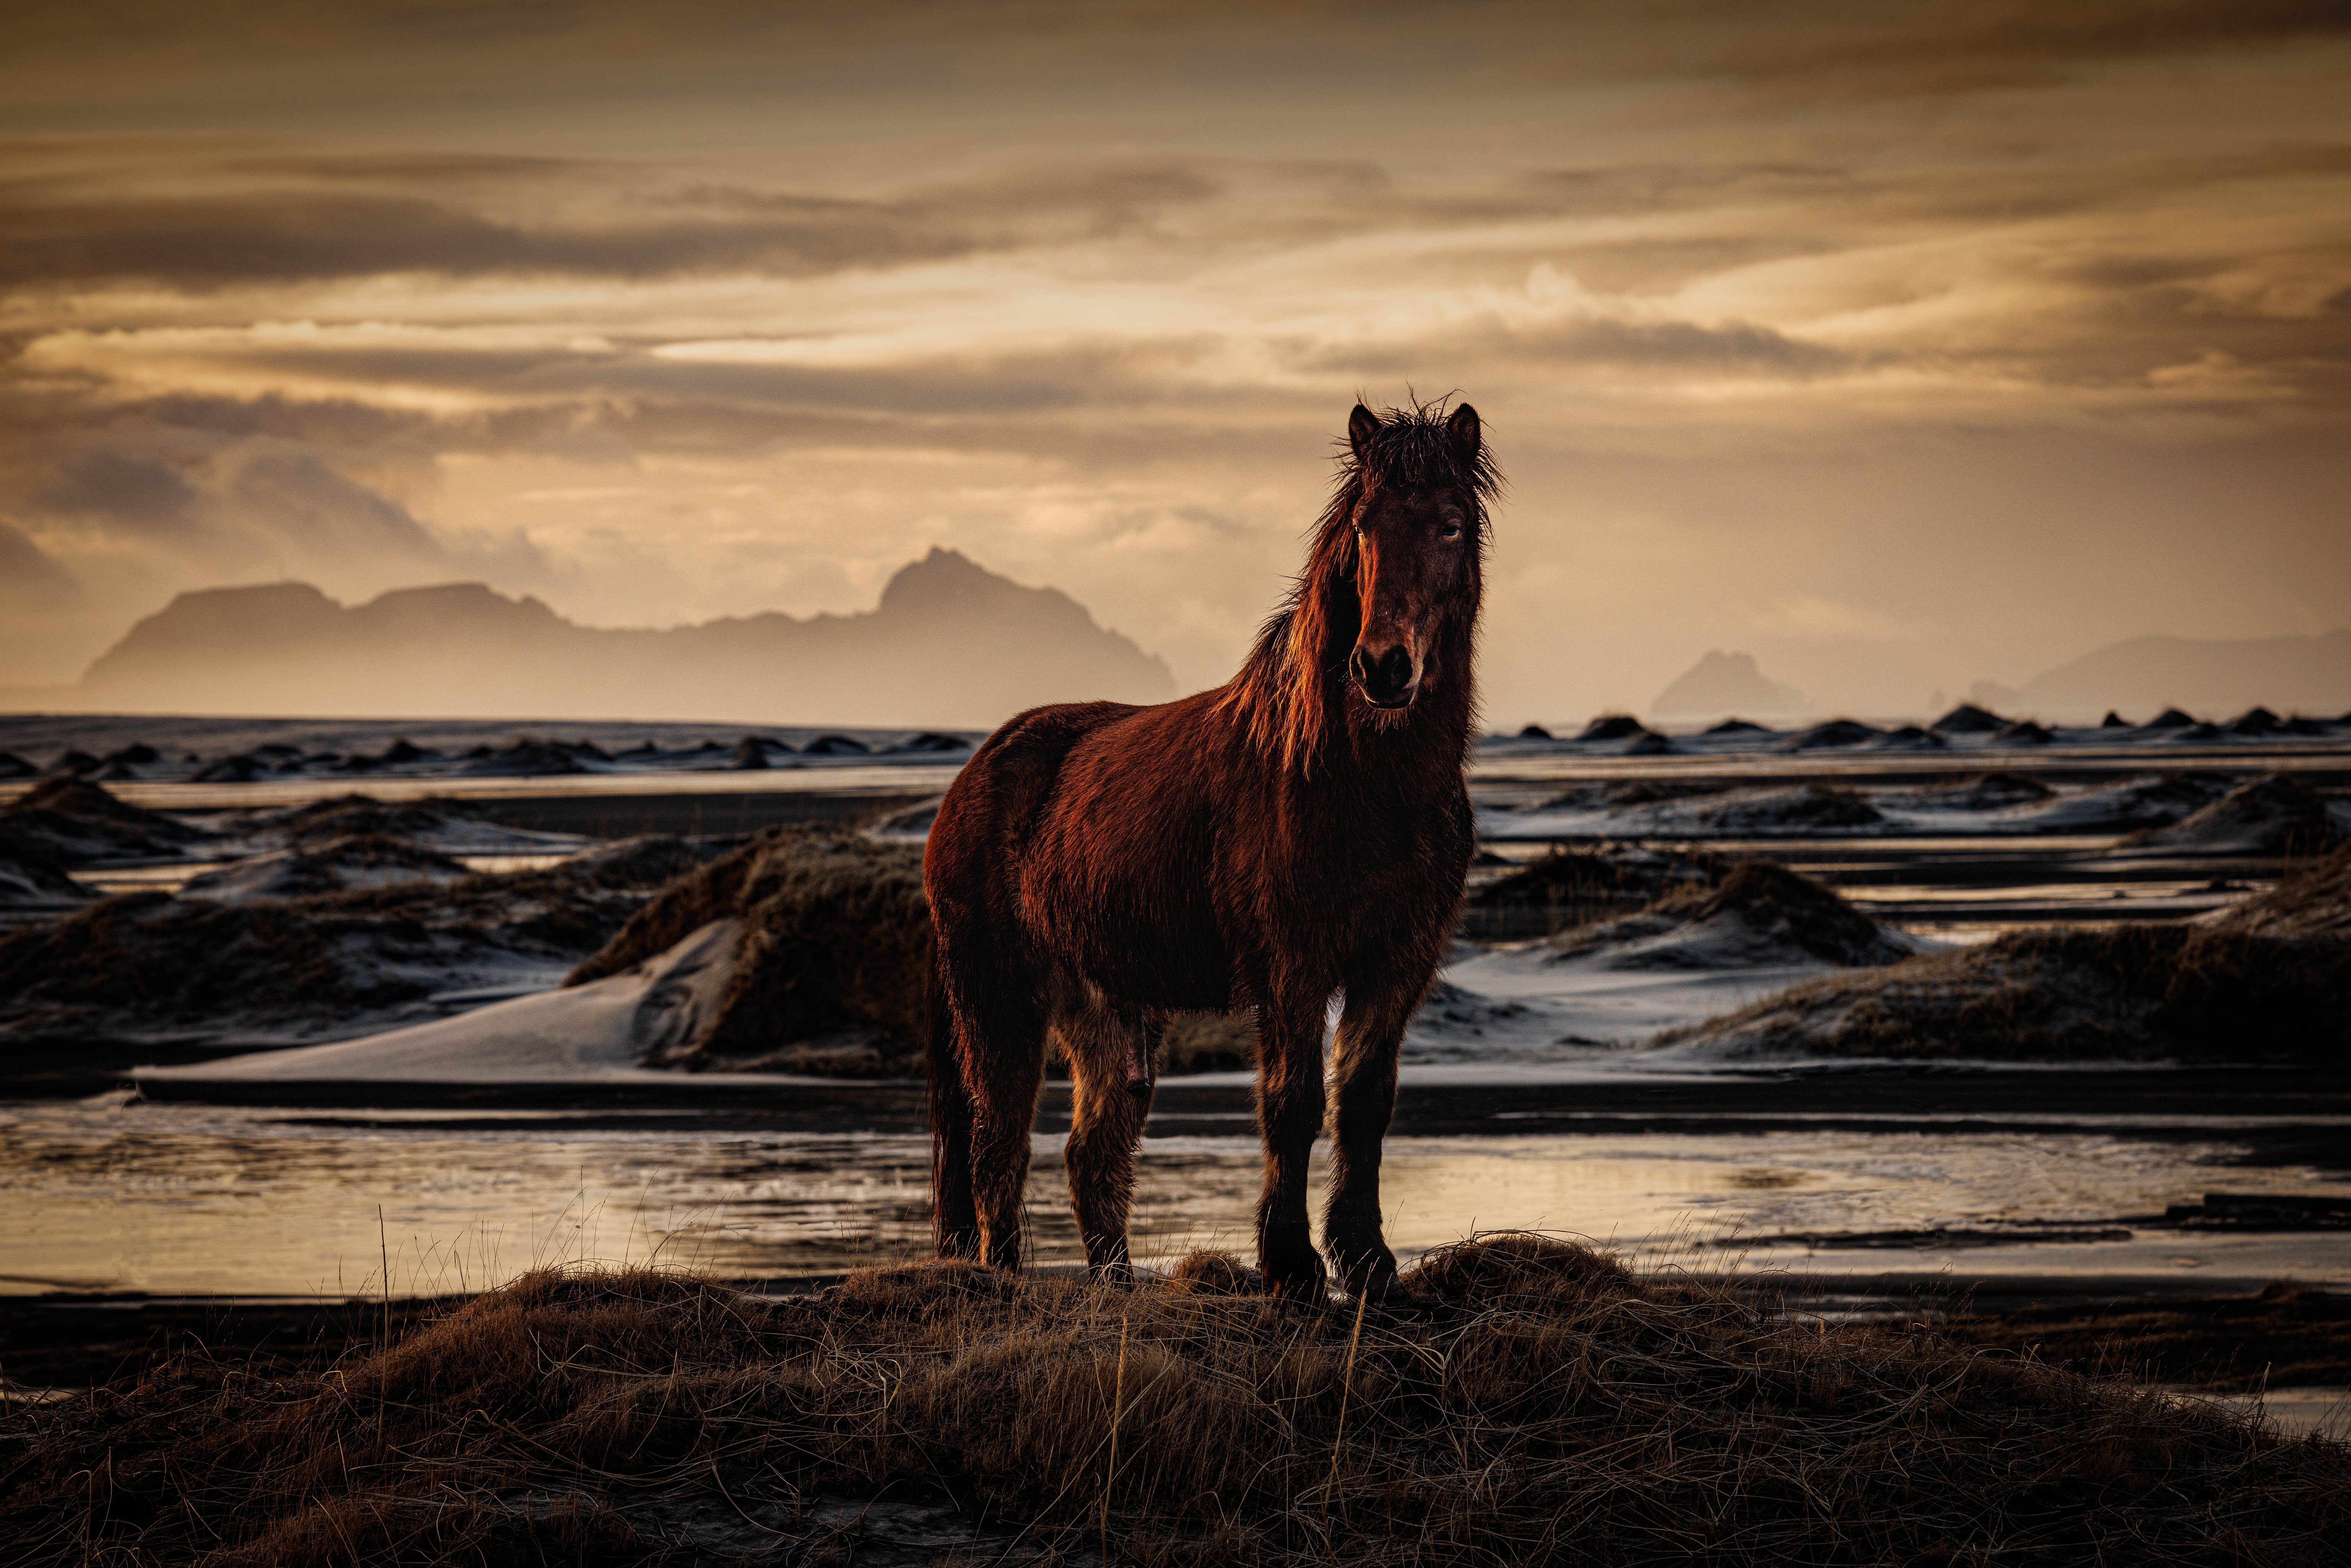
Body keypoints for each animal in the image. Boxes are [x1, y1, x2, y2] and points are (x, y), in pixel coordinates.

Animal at [923, 398, 1496, 1301]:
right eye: (1363, 527)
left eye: (1449, 525)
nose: (1382, 668)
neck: (1358, 779)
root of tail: (974, 774)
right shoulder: (1294, 965)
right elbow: (1292, 1105)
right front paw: (1292, 1267)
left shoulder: (1396, 963)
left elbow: (1364, 1106)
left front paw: (1367, 1262)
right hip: (1000, 997)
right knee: (996, 1149)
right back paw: (1005, 1283)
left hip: (1103, 1006)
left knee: (1090, 1154)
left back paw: (1118, 1290)